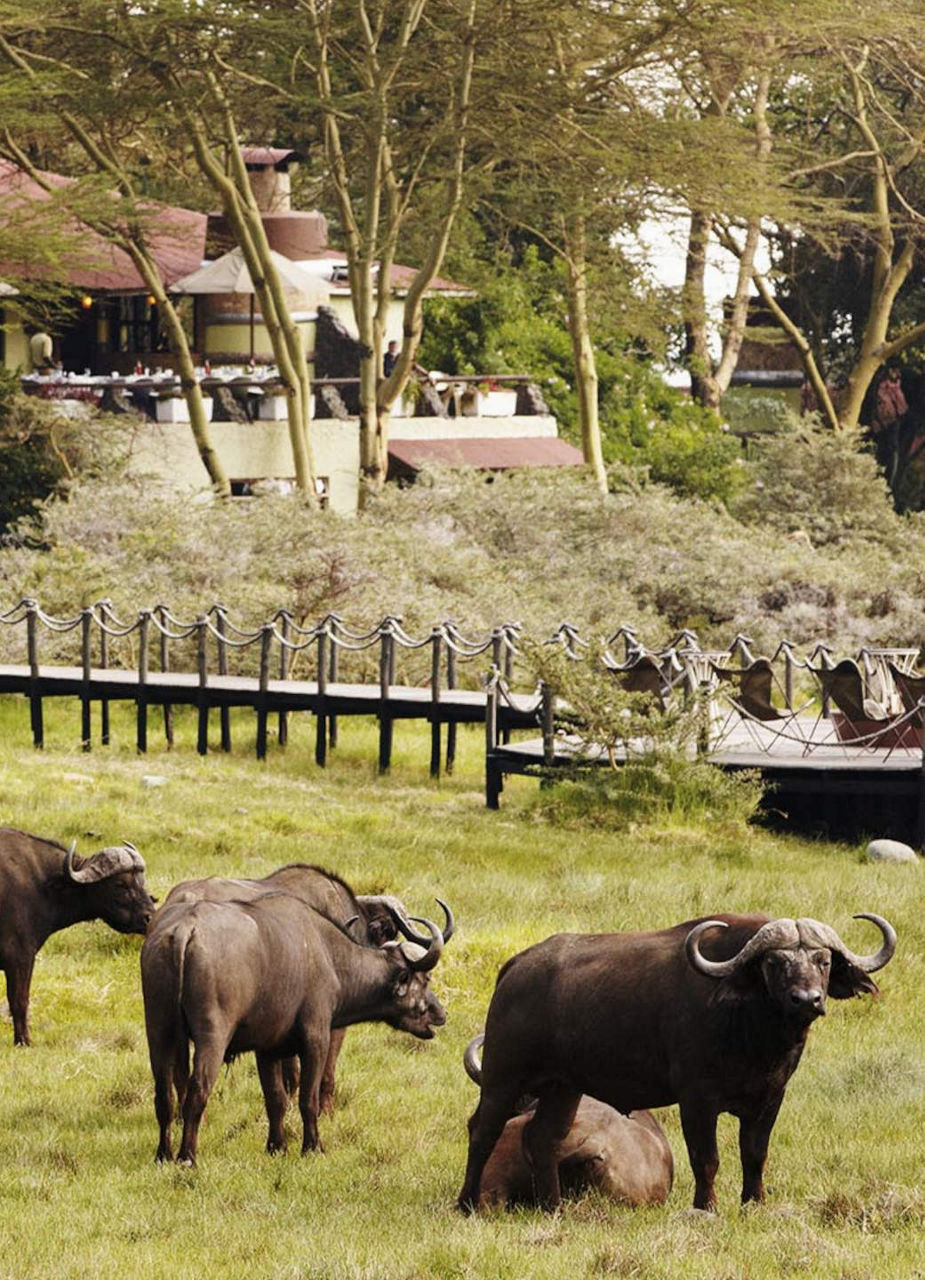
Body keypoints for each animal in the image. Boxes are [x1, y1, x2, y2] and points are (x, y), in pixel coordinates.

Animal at [0, 824, 155, 1044]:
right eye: (120, 884)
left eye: (140, 881)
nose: (149, 917)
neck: (43, 886)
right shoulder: (20, 956)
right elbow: (19, 1001)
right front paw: (23, 1041)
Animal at [141, 896, 447, 1167]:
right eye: (426, 979)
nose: (441, 1013)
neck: (328, 956)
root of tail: (185, 929)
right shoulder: (316, 1040)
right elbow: (307, 1099)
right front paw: (312, 1147)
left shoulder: (266, 1049)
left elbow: (275, 1099)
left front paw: (276, 1147)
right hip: (212, 1037)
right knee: (197, 1092)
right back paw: (187, 1156)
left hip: (158, 1031)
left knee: (164, 1096)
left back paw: (163, 1155)